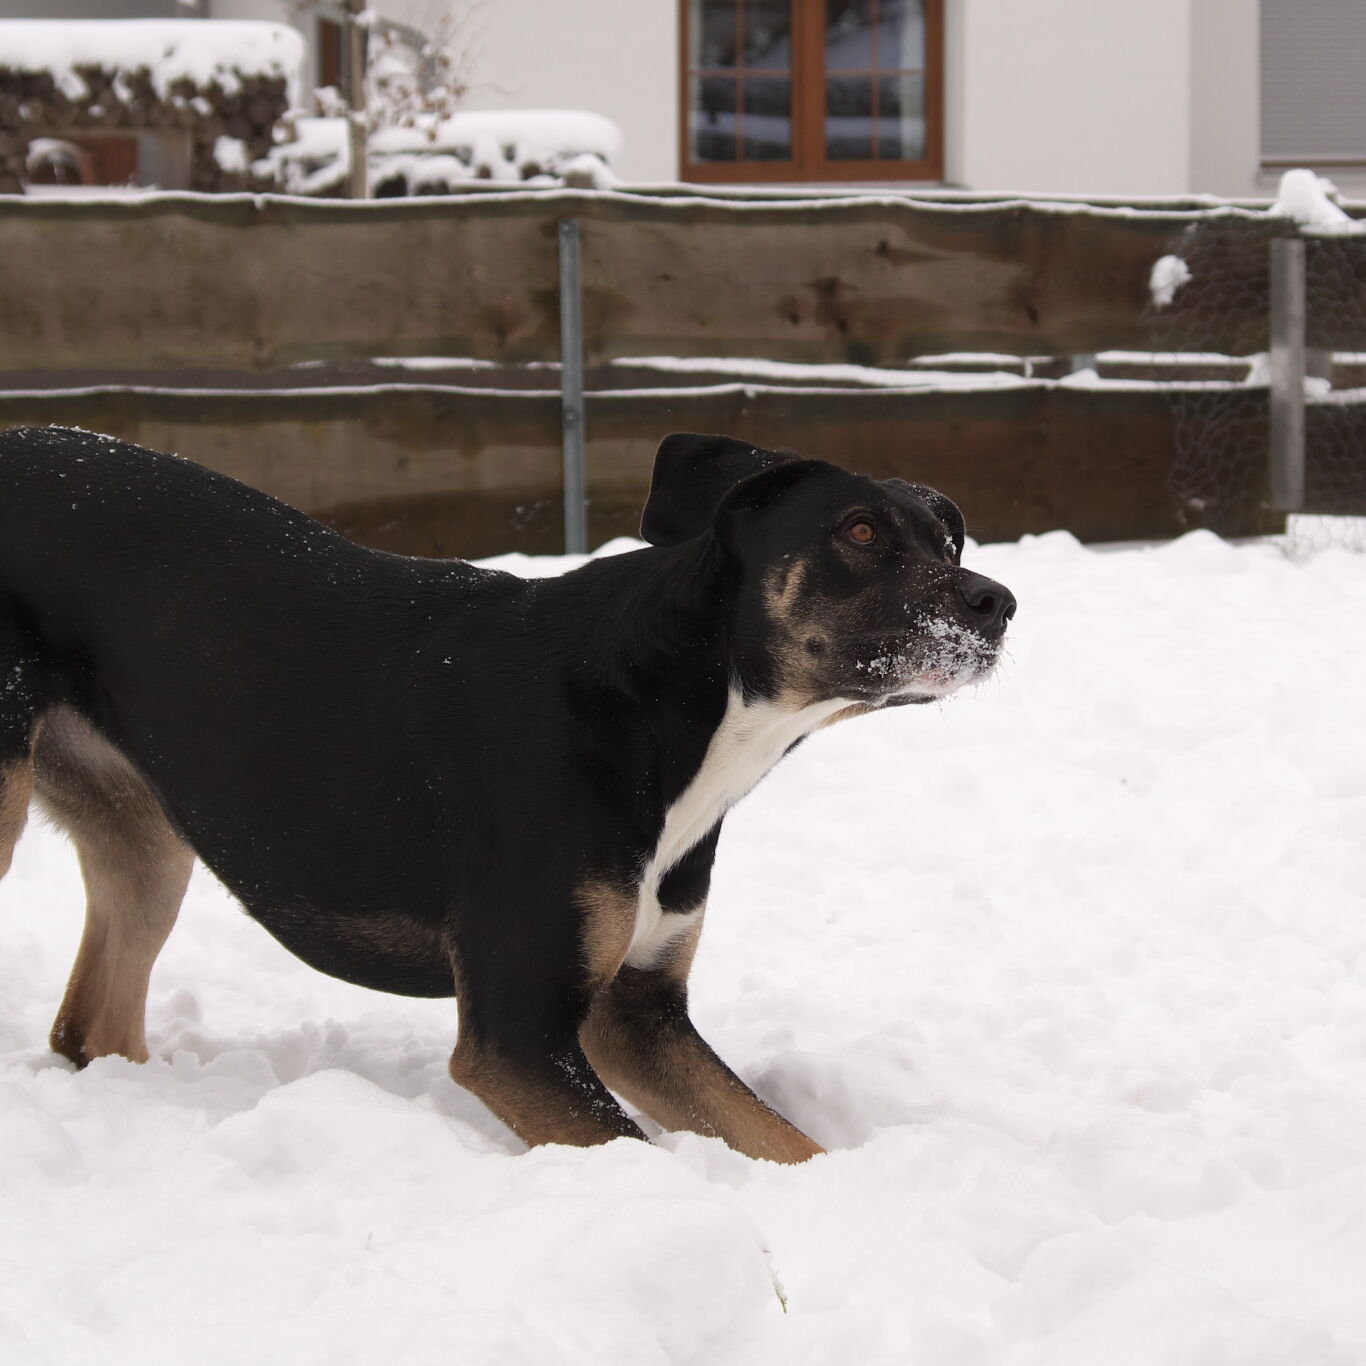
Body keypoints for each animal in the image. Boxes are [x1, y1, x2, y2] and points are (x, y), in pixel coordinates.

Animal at [0, 425, 1014, 1163]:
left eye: (948, 537)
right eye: (859, 531)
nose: (998, 603)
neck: (668, 712)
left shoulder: (635, 1011)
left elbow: (782, 1140)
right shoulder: (518, 1038)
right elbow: (640, 1156)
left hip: (145, 836)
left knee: (90, 1026)